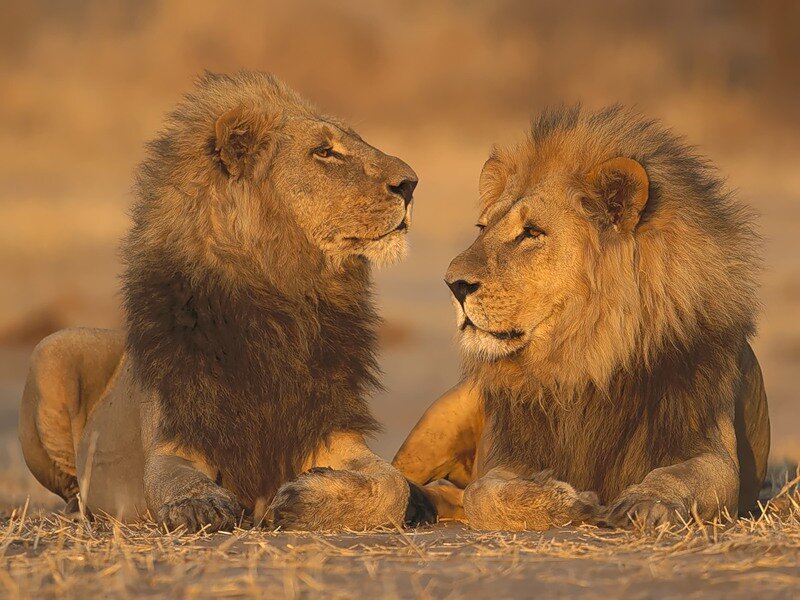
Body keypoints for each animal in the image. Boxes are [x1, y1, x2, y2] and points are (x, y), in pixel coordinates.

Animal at [18, 71, 427, 532]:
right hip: (53, 347)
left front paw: (300, 499)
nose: (411, 184)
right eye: (324, 152)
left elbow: (393, 484)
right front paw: (200, 505)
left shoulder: (333, 432)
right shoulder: (174, 438)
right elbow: (172, 479)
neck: (284, 301)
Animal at [393, 105, 770, 530]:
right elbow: (482, 493)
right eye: (483, 227)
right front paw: (568, 501)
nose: (453, 284)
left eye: (531, 232)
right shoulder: (508, 455)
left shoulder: (709, 448)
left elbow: (676, 478)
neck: (583, 357)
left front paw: (645, 502)